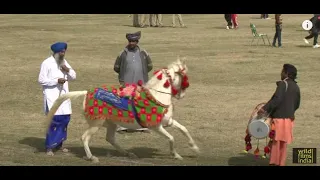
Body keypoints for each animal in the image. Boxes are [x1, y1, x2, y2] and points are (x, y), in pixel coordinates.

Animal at [44, 57, 200, 162]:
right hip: (96, 123)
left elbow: (184, 129)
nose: (182, 95)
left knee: (110, 138)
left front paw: (195, 148)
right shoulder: (155, 126)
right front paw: (176, 155)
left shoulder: (168, 121)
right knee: (85, 137)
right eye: (185, 77)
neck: (155, 96)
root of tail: (87, 92)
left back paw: (128, 153)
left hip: (111, 123)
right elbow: (171, 138)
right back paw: (91, 157)